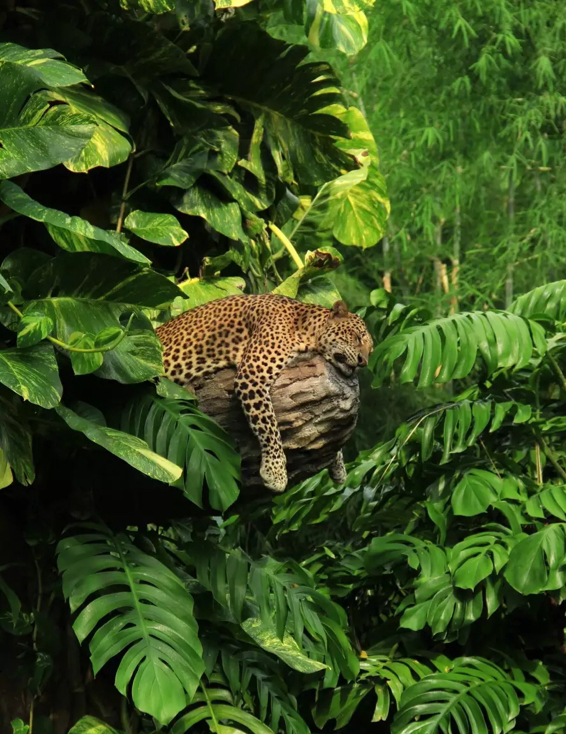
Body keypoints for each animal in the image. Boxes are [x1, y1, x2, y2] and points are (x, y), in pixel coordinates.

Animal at [158, 294, 374, 494]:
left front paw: (338, 464)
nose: (363, 362)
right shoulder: (251, 374)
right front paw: (275, 472)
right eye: (356, 337)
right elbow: (268, 423)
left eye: (370, 351)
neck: (304, 326)